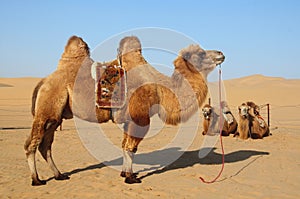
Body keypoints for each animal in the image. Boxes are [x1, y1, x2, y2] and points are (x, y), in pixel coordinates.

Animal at [24, 35, 224, 185]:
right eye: (200, 54)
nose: (221, 53)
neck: (160, 90)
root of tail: (43, 81)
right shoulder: (141, 118)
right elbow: (131, 147)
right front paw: (130, 178)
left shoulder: (130, 119)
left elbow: (124, 145)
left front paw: (126, 173)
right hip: (47, 108)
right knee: (32, 144)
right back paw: (37, 180)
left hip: (55, 117)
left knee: (45, 145)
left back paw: (59, 175)